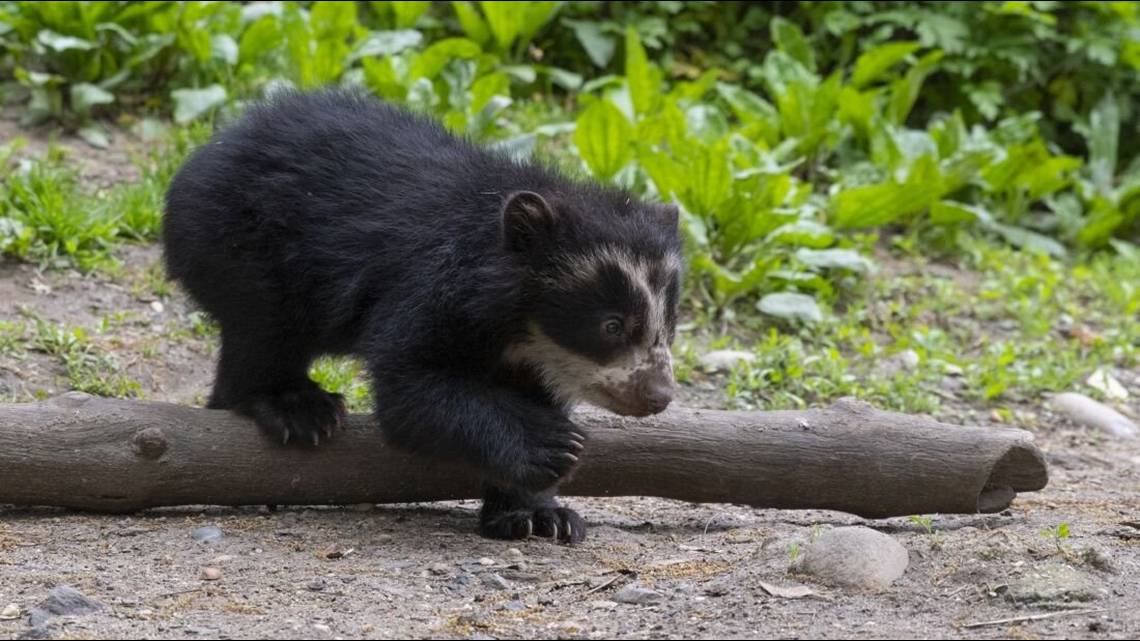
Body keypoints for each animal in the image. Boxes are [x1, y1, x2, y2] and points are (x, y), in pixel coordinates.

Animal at [162, 87, 683, 544]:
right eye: (611, 326)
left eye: (670, 326)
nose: (658, 396)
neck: (522, 327)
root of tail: (210, 149)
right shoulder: (433, 285)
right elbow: (410, 384)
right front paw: (553, 444)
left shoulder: (529, 358)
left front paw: (538, 515)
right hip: (242, 245)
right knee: (263, 332)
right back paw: (295, 407)